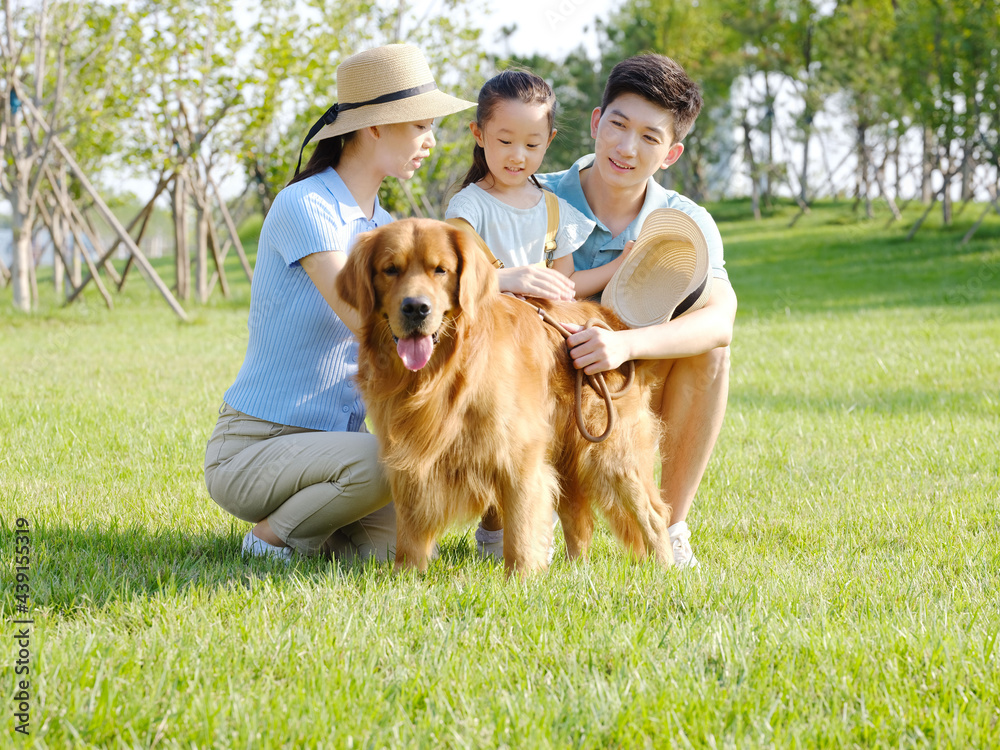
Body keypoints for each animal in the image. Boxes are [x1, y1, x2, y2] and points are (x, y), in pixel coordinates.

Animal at [336, 217, 672, 576]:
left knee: (653, 516)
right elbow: (410, 529)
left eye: (440, 270)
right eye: (390, 270)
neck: (442, 373)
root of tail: (607, 319)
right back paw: (575, 572)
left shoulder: (520, 454)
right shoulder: (410, 455)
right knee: (579, 521)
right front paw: (407, 575)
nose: (416, 308)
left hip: (611, 452)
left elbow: (521, 528)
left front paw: (523, 578)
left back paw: (668, 568)